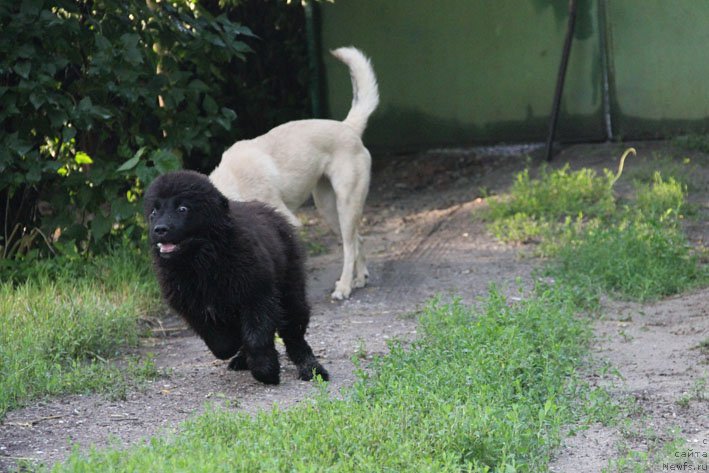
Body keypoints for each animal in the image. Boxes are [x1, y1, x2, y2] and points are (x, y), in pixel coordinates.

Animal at [145, 170, 332, 384]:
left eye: (183, 208)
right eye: (153, 212)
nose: (159, 229)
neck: (203, 263)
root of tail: (270, 211)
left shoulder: (257, 295)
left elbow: (256, 338)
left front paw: (266, 372)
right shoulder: (192, 308)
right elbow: (222, 344)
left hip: (291, 290)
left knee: (294, 333)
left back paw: (311, 368)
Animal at [209, 47, 378, 298]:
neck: (234, 183)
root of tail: (348, 127)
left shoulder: (287, 224)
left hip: (346, 206)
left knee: (350, 247)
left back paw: (344, 287)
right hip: (329, 210)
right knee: (358, 240)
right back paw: (360, 279)